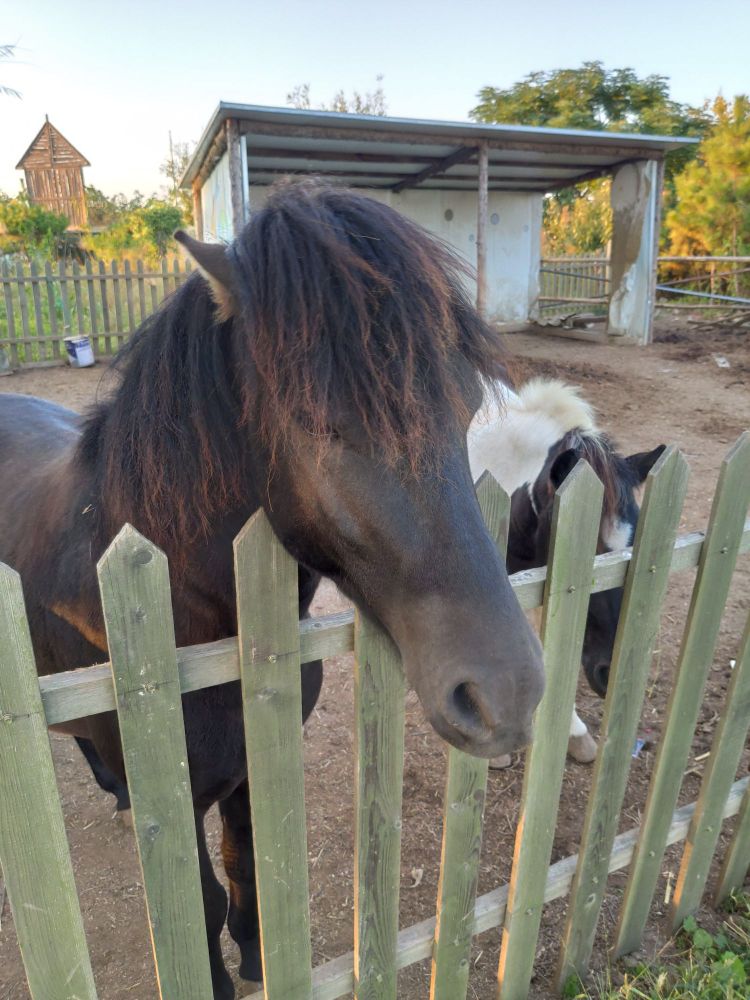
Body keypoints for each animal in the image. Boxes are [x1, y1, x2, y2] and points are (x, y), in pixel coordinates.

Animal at [0, 182, 540, 1000]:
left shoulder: (248, 773)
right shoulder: (176, 805)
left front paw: (256, 957)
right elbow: (199, 901)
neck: (193, 617)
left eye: (467, 402)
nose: (505, 695)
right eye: (319, 421)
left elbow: (246, 865)